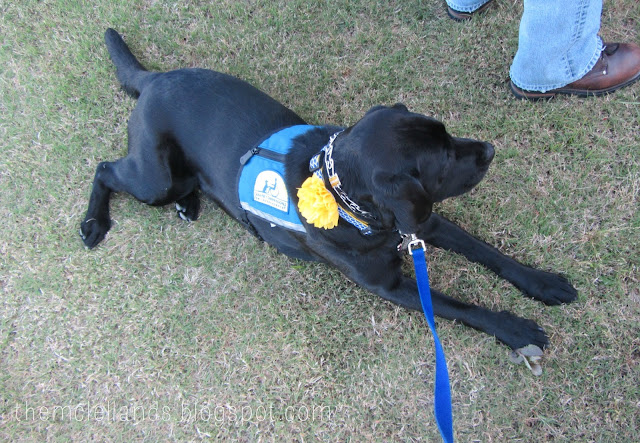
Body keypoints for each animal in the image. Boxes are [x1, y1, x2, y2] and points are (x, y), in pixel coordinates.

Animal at [81, 29, 577, 351]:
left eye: (448, 133)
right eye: (444, 160)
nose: (490, 150)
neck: (349, 203)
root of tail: (153, 78)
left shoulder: (425, 219)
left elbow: (490, 253)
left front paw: (543, 282)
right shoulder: (391, 283)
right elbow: (462, 307)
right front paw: (515, 330)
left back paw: (189, 204)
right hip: (153, 180)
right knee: (105, 168)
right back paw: (93, 223)